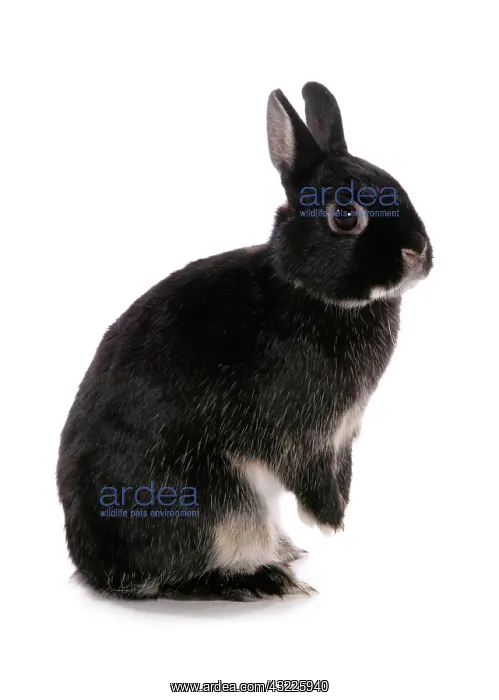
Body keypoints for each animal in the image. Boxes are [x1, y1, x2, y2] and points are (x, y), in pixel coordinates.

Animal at [57, 82, 433, 601]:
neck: (305, 290)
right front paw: (326, 522)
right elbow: (312, 478)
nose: (418, 253)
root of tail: (94, 566)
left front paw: (328, 523)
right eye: (344, 216)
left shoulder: (341, 436)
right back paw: (269, 578)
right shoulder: (305, 434)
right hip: (213, 501)